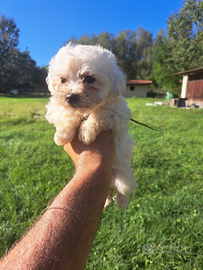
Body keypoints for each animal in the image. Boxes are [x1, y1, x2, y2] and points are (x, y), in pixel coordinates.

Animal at [45, 43, 136, 210]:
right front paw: (62, 135)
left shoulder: (118, 113)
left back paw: (122, 203)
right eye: (62, 80)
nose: (70, 96)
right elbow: (66, 112)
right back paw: (106, 202)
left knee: (123, 190)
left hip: (124, 177)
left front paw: (86, 133)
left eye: (89, 79)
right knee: (107, 192)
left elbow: (100, 113)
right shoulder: (55, 106)